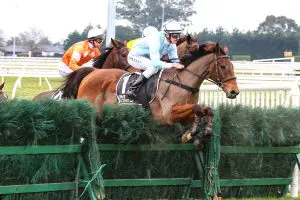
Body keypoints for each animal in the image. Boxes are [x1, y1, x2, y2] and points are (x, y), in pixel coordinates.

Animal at [60, 41, 239, 148]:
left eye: (232, 65)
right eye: (223, 66)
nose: (234, 92)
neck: (182, 82)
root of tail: (91, 73)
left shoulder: (184, 113)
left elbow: (205, 109)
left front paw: (200, 131)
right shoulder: (166, 115)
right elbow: (197, 108)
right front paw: (192, 132)